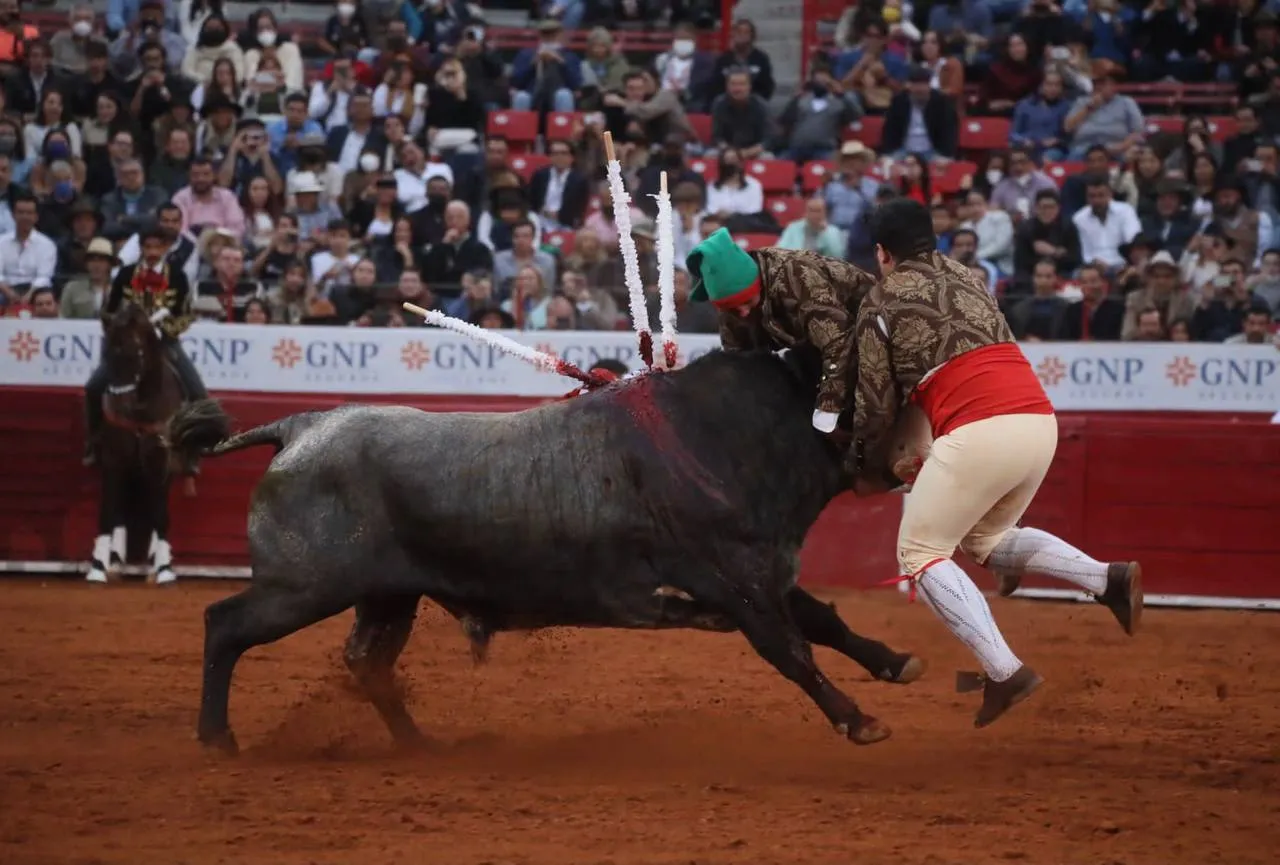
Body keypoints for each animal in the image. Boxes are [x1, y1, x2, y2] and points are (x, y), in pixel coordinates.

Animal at [170, 348, 926, 752]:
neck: (726, 433)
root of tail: (303, 424)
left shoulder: (762, 569)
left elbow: (825, 621)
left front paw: (897, 662)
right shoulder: (735, 580)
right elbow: (791, 649)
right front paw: (859, 720)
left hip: (388, 596)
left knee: (366, 662)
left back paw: (419, 745)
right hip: (303, 587)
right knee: (224, 624)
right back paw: (216, 738)